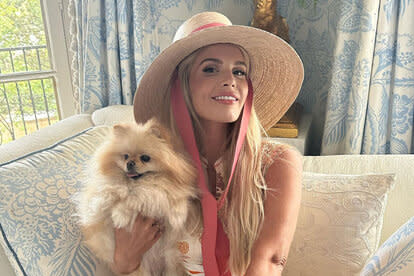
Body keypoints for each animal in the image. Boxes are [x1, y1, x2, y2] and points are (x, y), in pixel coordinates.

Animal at [76, 119, 202, 276]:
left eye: (145, 158)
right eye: (125, 156)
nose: (130, 163)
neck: (144, 184)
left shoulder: (171, 192)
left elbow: (178, 201)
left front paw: (177, 217)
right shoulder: (101, 197)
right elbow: (123, 197)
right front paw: (120, 215)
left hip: (171, 260)